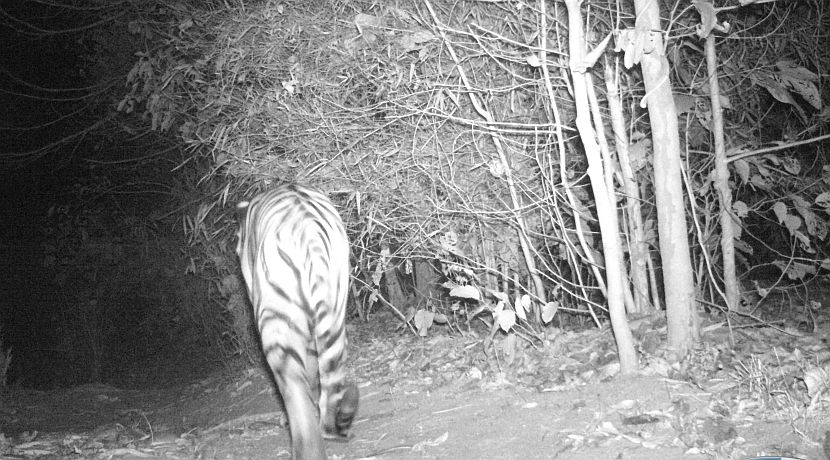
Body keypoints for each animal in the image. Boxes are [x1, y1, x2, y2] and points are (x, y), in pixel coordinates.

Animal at [236, 184, 359, 460]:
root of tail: (309, 232)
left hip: (277, 320)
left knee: (293, 388)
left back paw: (306, 446)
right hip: (335, 307)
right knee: (330, 376)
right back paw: (328, 429)